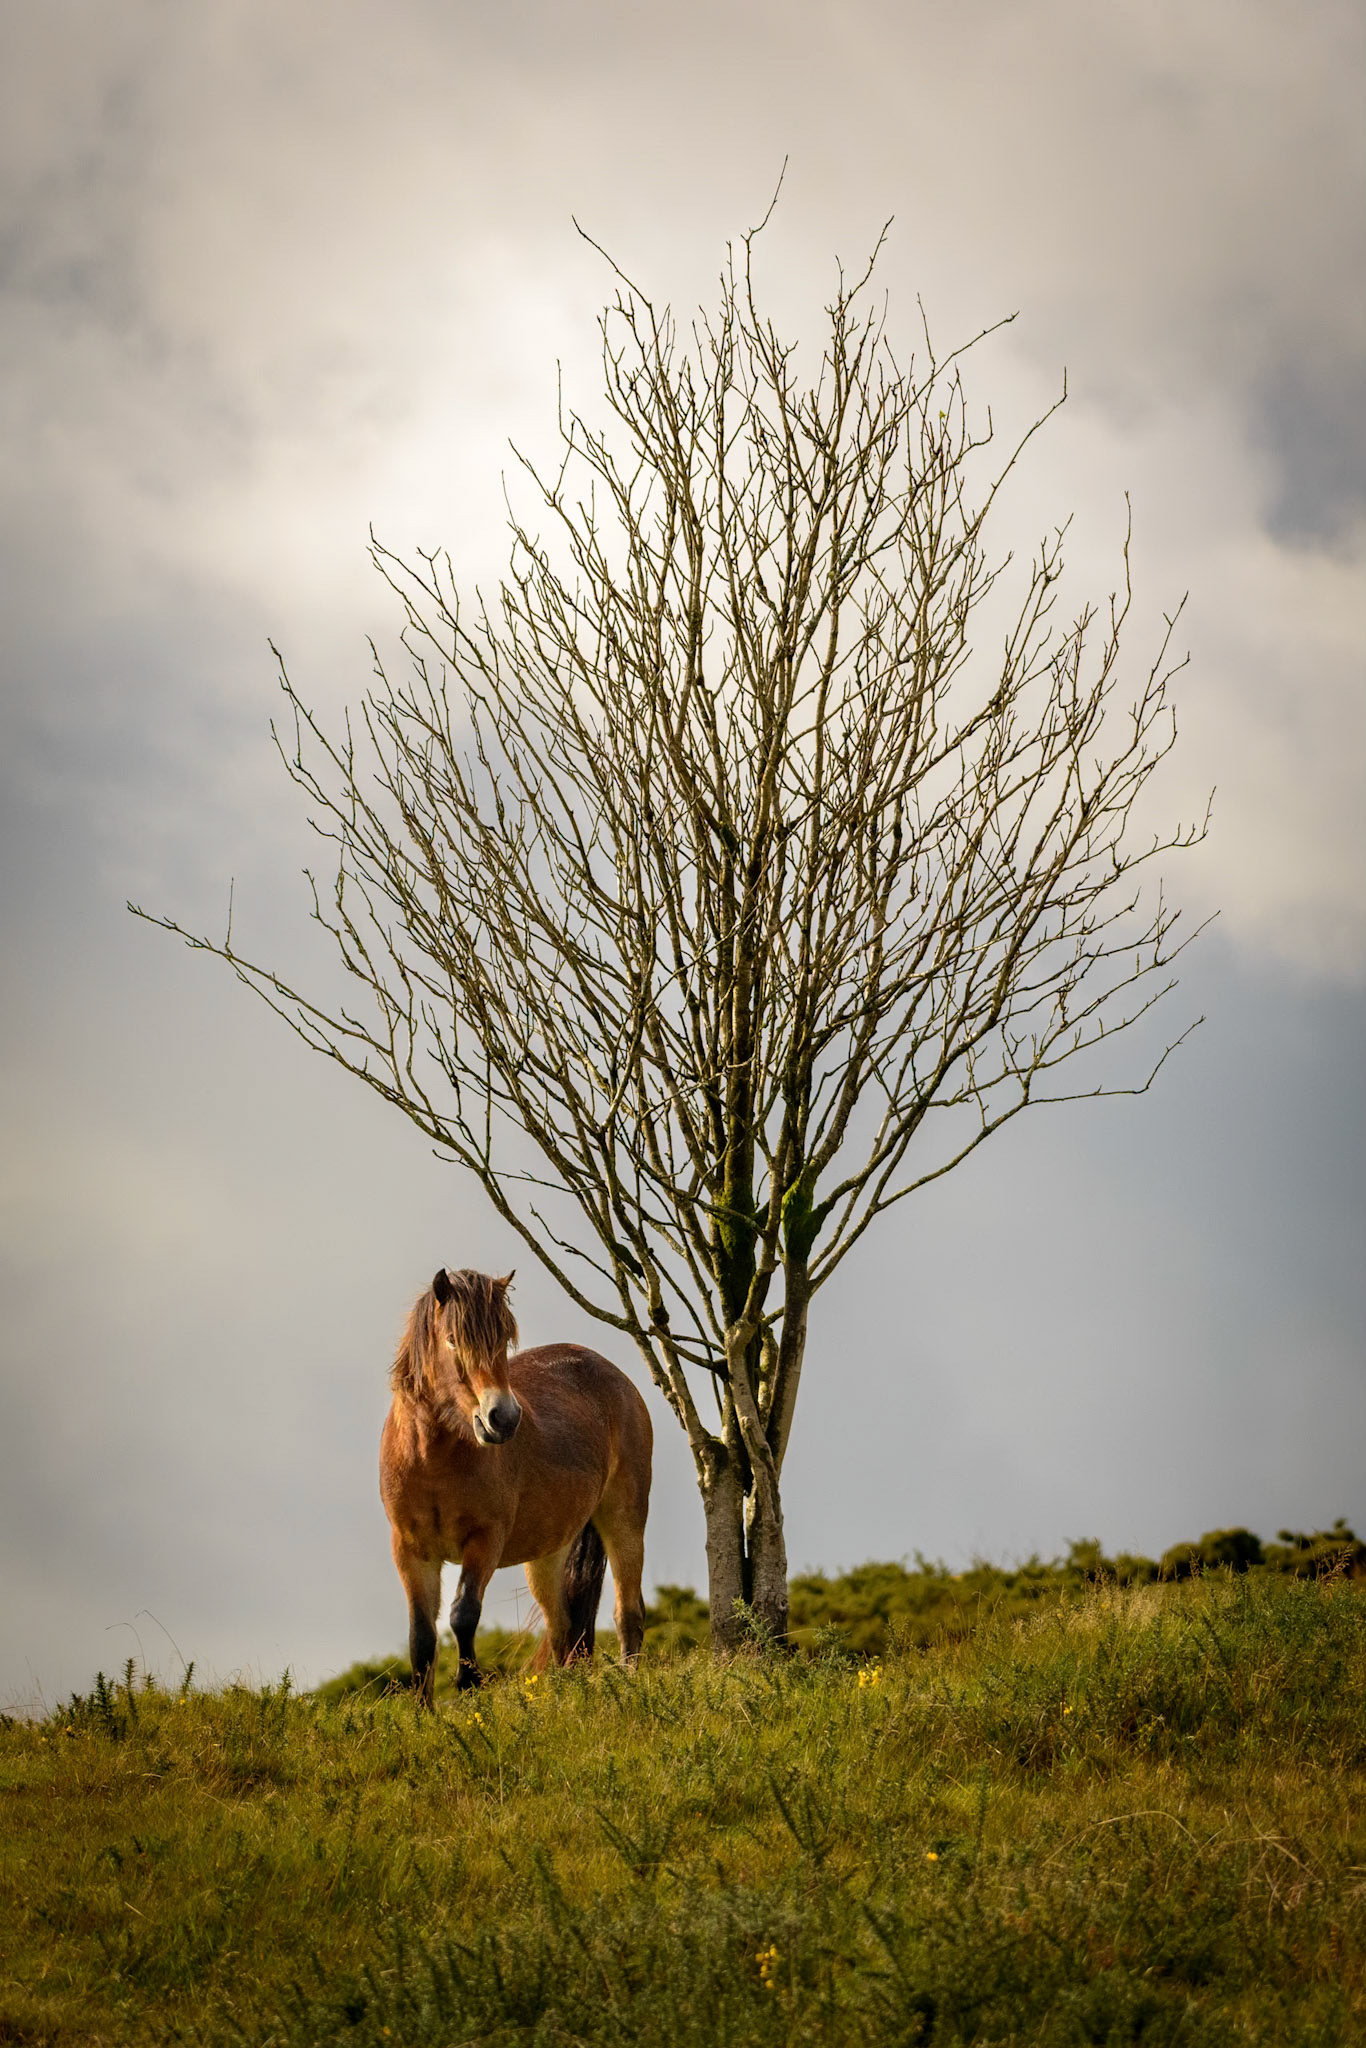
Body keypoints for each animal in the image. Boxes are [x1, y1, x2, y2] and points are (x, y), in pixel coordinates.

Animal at [379, 1267, 653, 1701]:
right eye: (452, 1339)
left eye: (504, 1338)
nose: (503, 1418)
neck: (432, 1462)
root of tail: (616, 1377)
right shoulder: (410, 1551)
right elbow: (420, 1637)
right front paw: (425, 1710)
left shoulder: (485, 1541)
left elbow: (463, 1614)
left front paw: (469, 1688)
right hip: (547, 1555)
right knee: (563, 1630)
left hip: (624, 1519)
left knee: (628, 1611)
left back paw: (628, 1684)